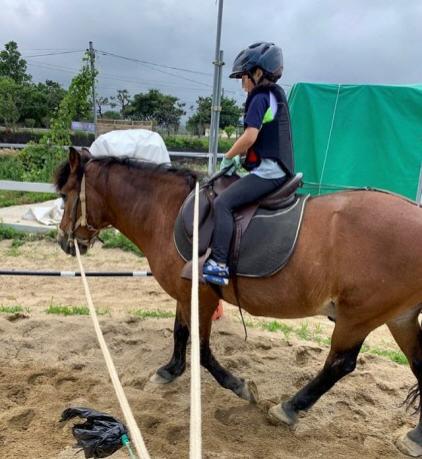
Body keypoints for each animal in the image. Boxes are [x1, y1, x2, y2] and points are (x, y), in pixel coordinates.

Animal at [55, 149, 422, 458]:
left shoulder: (201, 297)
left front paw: (240, 387)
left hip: (358, 315)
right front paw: (169, 370)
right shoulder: (185, 292)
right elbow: (180, 332)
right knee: (418, 366)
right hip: (398, 317)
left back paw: (288, 408)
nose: (63, 240)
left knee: (339, 364)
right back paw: (414, 437)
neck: (169, 210)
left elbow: (202, 350)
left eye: (64, 195)